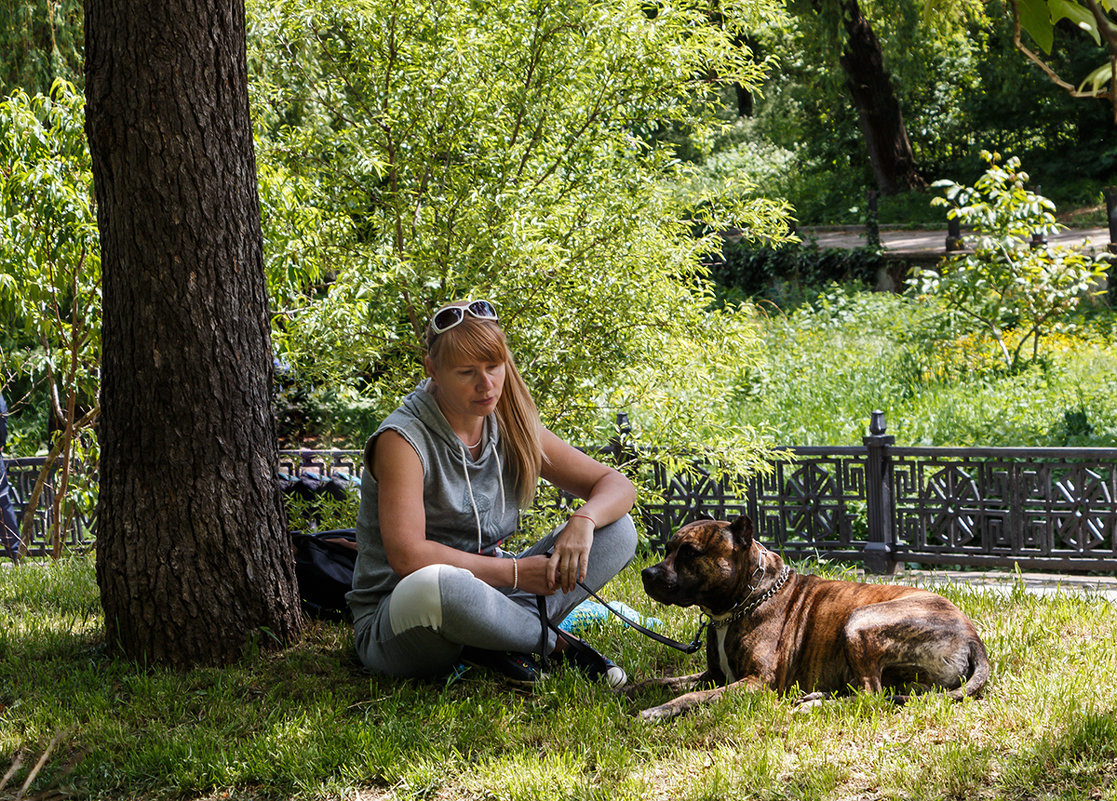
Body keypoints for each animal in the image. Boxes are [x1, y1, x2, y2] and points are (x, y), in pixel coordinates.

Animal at [634, 516, 991, 723]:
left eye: (690, 553)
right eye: (667, 549)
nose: (646, 574)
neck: (742, 600)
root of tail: (973, 638)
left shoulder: (756, 682)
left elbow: (691, 696)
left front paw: (656, 711)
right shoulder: (713, 674)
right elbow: (663, 682)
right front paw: (629, 689)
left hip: (860, 621)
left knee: (872, 696)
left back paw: (815, 705)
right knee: (879, 693)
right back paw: (817, 697)